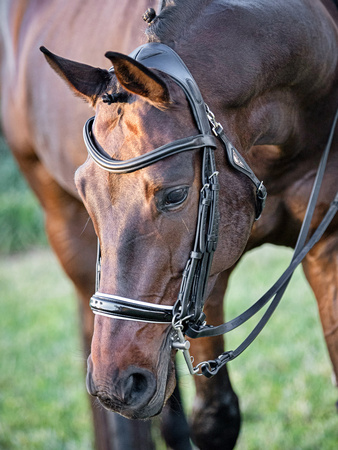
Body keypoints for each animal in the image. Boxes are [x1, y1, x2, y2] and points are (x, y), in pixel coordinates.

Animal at [0, 0, 338, 450]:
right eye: (85, 190)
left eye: (175, 195)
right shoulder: (206, 277)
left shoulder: (326, 245)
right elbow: (215, 419)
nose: (115, 383)